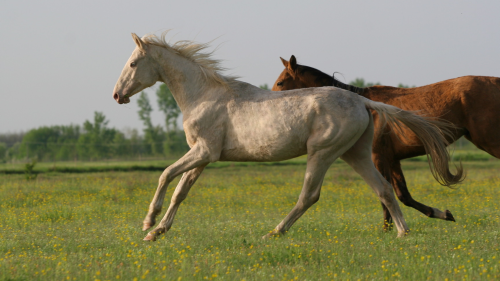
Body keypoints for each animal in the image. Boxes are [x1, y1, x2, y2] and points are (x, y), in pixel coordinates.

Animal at [272, 55, 500, 229]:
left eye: (281, 82)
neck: (366, 107)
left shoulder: (378, 157)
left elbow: (385, 193)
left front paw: (388, 228)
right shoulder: (393, 159)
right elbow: (403, 195)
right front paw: (441, 214)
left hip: (488, 140)